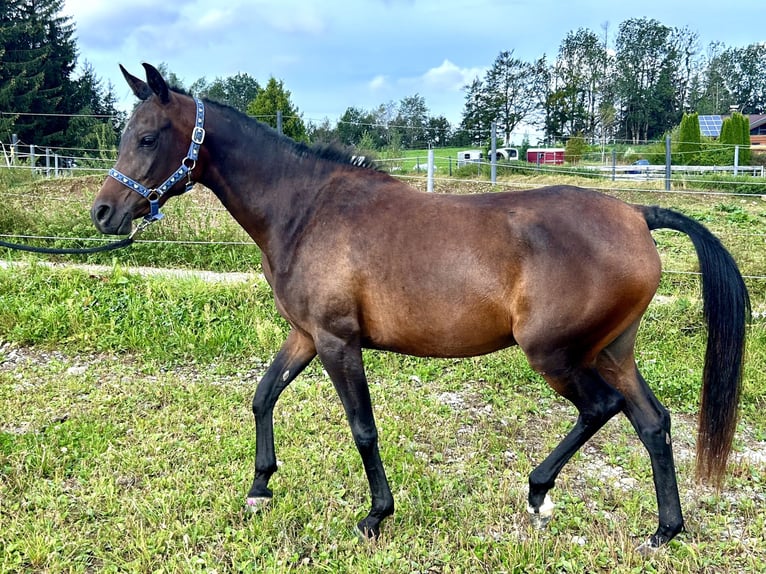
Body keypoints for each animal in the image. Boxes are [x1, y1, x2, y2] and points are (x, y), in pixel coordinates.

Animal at [91, 65, 752, 556]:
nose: (104, 213)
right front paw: (259, 487)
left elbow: (362, 427)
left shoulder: (336, 342)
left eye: (148, 137)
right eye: (126, 134)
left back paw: (539, 493)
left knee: (601, 408)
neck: (305, 209)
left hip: (556, 354)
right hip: (612, 350)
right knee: (653, 423)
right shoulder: (305, 335)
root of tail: (638, 214)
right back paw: (663, 531)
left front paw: (375, 515)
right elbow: (262, 396)